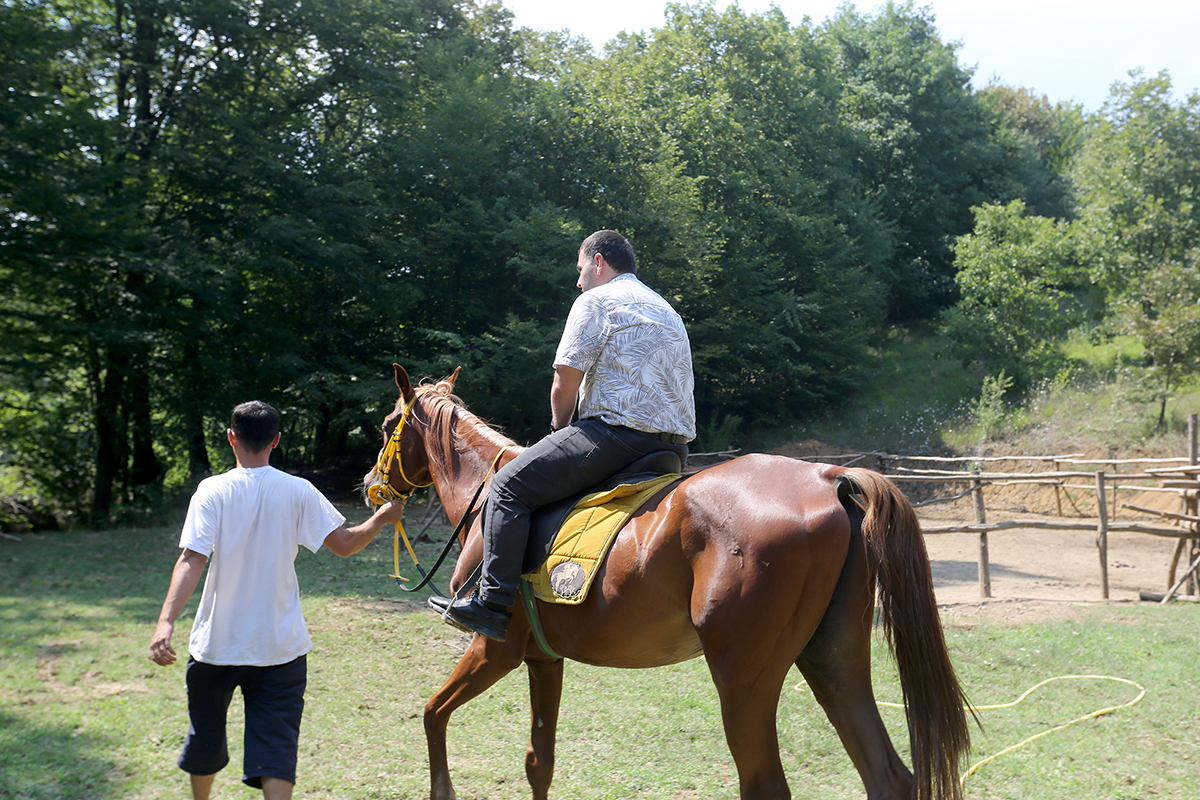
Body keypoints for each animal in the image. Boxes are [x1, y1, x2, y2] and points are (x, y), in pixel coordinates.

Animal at [364, 367, 974, 800]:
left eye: (388, 426)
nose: (370, 484)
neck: (489, 498)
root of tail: (829, 477)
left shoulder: (494, 649)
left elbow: (432, 713)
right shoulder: (543, 658)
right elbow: (540, 763)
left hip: (744, 678)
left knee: (767, 785)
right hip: (833, 657)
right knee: (888, 777)